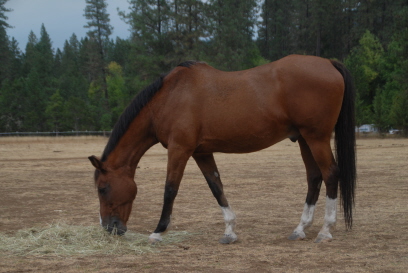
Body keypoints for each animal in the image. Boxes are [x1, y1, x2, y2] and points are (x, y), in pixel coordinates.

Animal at [87, 54, 356, 243]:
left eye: (102, 188)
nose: (108, 228)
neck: (169, 97)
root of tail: (329, 63)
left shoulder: (179, 149)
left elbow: (170, 189)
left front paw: (158, 231)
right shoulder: (201, 152)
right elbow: (216, 187)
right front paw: (229, 231)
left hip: (316, 138)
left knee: (330, 174)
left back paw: (325, 231)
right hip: (303, 139)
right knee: (314, 177)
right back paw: (300, 229)